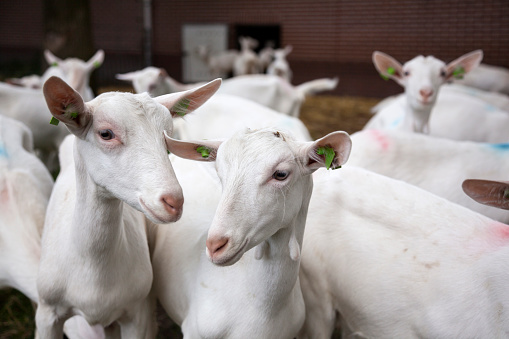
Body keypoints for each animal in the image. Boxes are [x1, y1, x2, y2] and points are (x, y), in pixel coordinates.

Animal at [33, 75, 220, 338]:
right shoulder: (47, 312)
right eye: (106, 133)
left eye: (168, 136)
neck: (93, 272)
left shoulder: (136, 313)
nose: (173, 202)